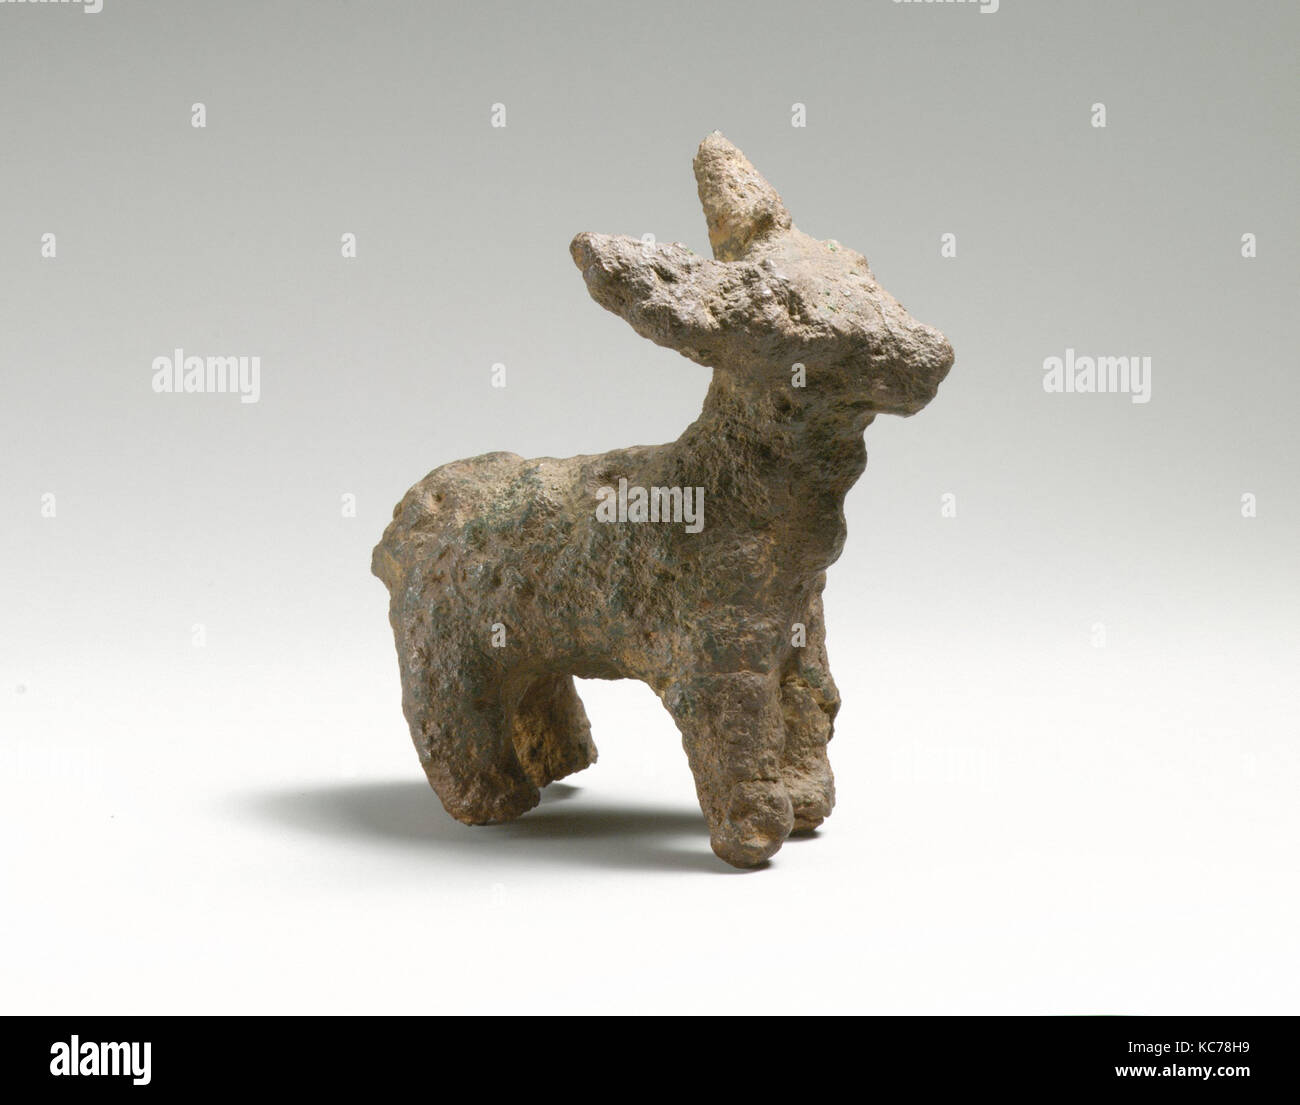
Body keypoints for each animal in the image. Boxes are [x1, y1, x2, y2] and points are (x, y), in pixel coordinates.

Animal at [372, 133, 954, 868]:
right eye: (805, 333)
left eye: (862, 269)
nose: (935, 354)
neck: (730, 493)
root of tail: (403, 521)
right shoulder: (715, 652)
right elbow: (741, 740)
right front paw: (754, 838)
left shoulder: (803, 636)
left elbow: (812, 716)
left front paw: (809, 808)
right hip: (446, 646)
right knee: (450, 719)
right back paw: (496, 802)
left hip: (528, 641)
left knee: (536, 690)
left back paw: (562, 764)